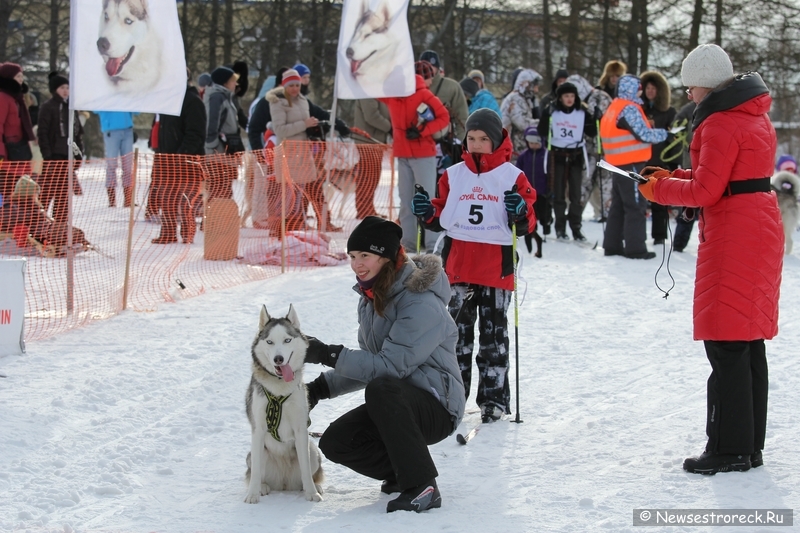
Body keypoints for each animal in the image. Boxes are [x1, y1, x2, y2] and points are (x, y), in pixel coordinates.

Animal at [244, 306, 322, 500]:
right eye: (270, 342)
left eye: (287, 340)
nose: (278, 359)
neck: (279, 390)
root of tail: (284, 482)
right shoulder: (258, 429)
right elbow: (255, 473)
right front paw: (252, 495)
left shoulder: (301, 429)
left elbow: (306, 469)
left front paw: (312, 493)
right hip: (254, 454)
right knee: (255, 471)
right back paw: (262, 487)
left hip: (312, 450)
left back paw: (314, 487)